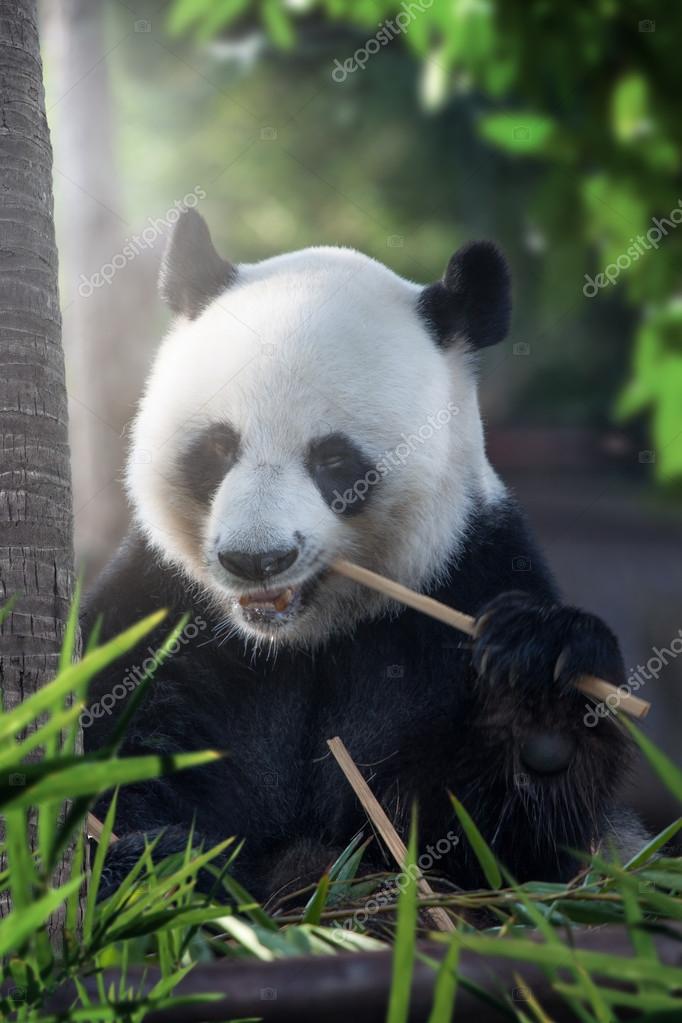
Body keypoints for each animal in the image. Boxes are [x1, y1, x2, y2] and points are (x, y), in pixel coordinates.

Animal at [84, 208, 640, 901]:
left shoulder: (459, 582)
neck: (296, 639)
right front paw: (158, 866)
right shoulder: (162, 612)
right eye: (217, 449)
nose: (256, 559)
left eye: (334, 460)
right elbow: (116, 757)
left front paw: (541, 693)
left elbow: (484, 845)